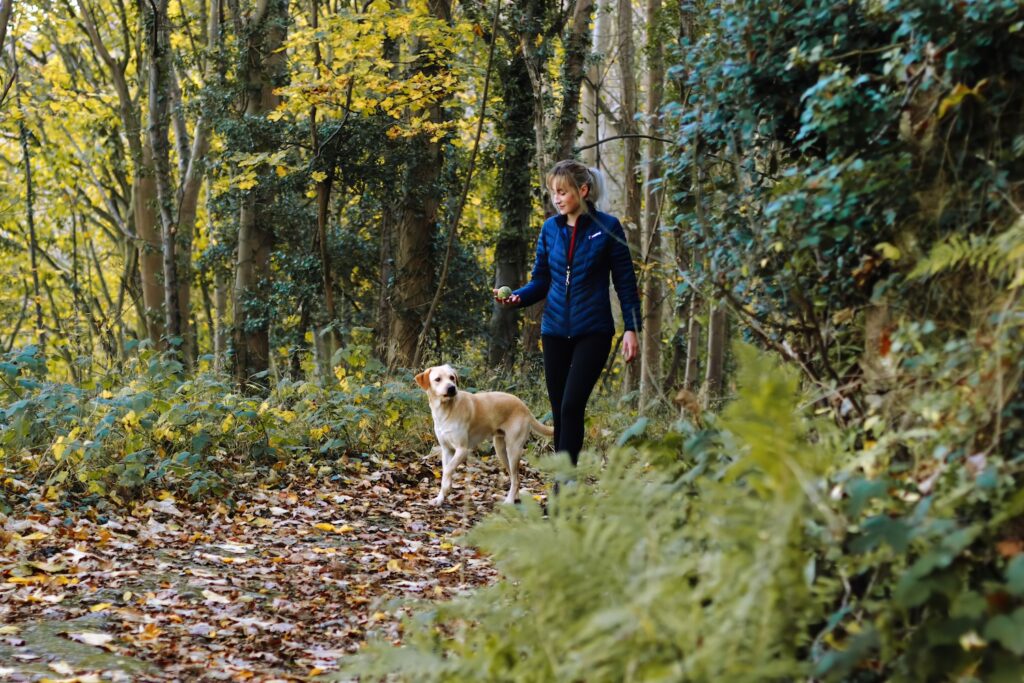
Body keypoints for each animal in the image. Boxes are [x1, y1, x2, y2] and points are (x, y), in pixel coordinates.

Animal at [415, 366, 557, 505]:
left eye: (452, 378)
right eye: (438, 379)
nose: (451, 388)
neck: (446, 410)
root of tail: (524, 407)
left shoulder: (462, 450)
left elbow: (447, 470)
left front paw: (446, 488)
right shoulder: (446, 449)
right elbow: (446, 469)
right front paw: (440, 498)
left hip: (513, 449)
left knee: (516, 479)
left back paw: (509, 501)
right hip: (501, 450)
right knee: (515, 477)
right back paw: (512, 498)